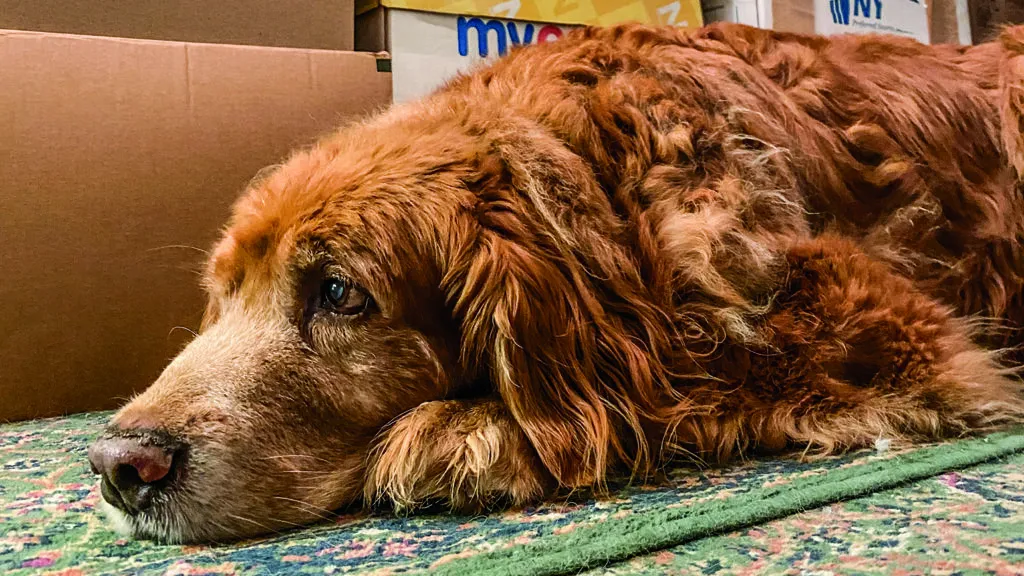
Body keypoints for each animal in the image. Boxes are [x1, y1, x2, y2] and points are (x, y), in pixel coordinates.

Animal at [86, 22, 1024, 541]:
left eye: (340, 293)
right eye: (222, 298)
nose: (118, 464)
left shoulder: (879, 329)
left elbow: (687, 383)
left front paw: (463, 431)